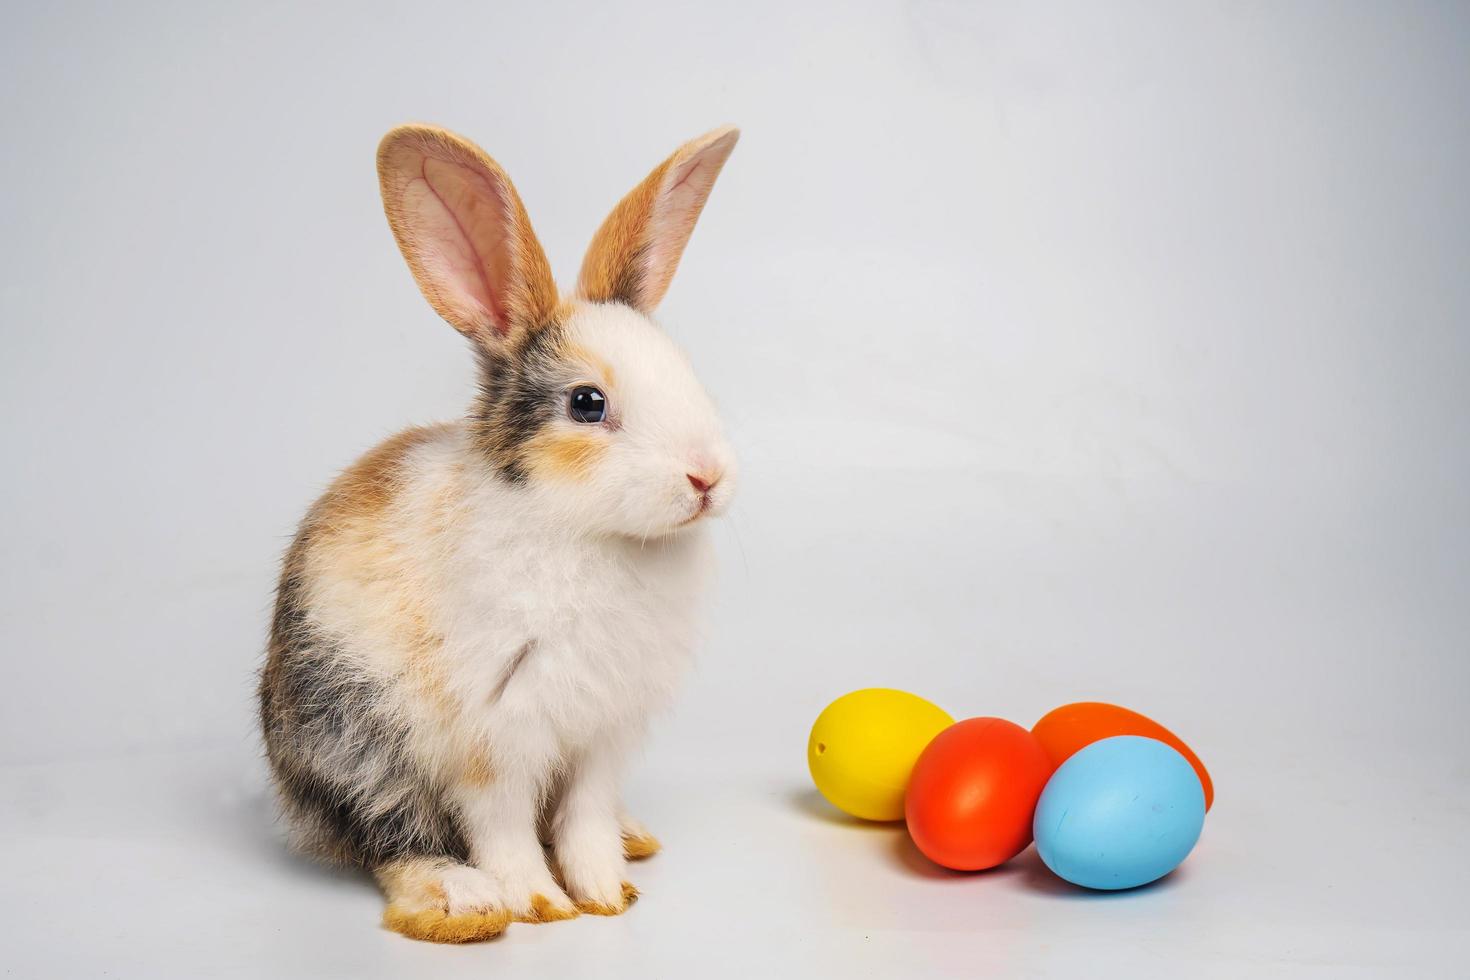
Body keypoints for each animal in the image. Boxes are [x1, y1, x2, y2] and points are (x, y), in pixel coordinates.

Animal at [258, 122, 740, 940]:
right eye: (586, 403)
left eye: (687, 373)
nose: (707, 477)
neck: (582, 529)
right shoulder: (498, 733)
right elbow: (505, 825)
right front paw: (541, 903)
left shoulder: (601, 737)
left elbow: (581, 820)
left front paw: (606, 895)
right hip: (359, 741)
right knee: (392, 837)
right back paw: (464, 903)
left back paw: (632, 840)